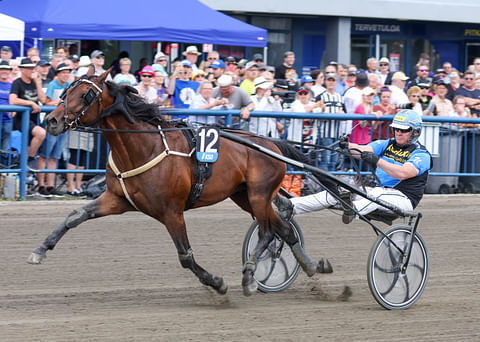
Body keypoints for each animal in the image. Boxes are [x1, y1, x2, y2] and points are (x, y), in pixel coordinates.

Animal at [27, 67, 334, 296]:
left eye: (86, 94)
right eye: (66, 90)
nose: (51, 120)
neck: (143, 147)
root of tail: (271, 142)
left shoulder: (171, 212)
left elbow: (185, 256)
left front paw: (217, 283)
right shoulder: (117, 199)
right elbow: (75, 216)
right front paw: (39, 251)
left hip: (259, 194)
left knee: (269, 231)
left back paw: (250, 275)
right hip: (244, 195)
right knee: (285, 228)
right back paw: (310, 265)